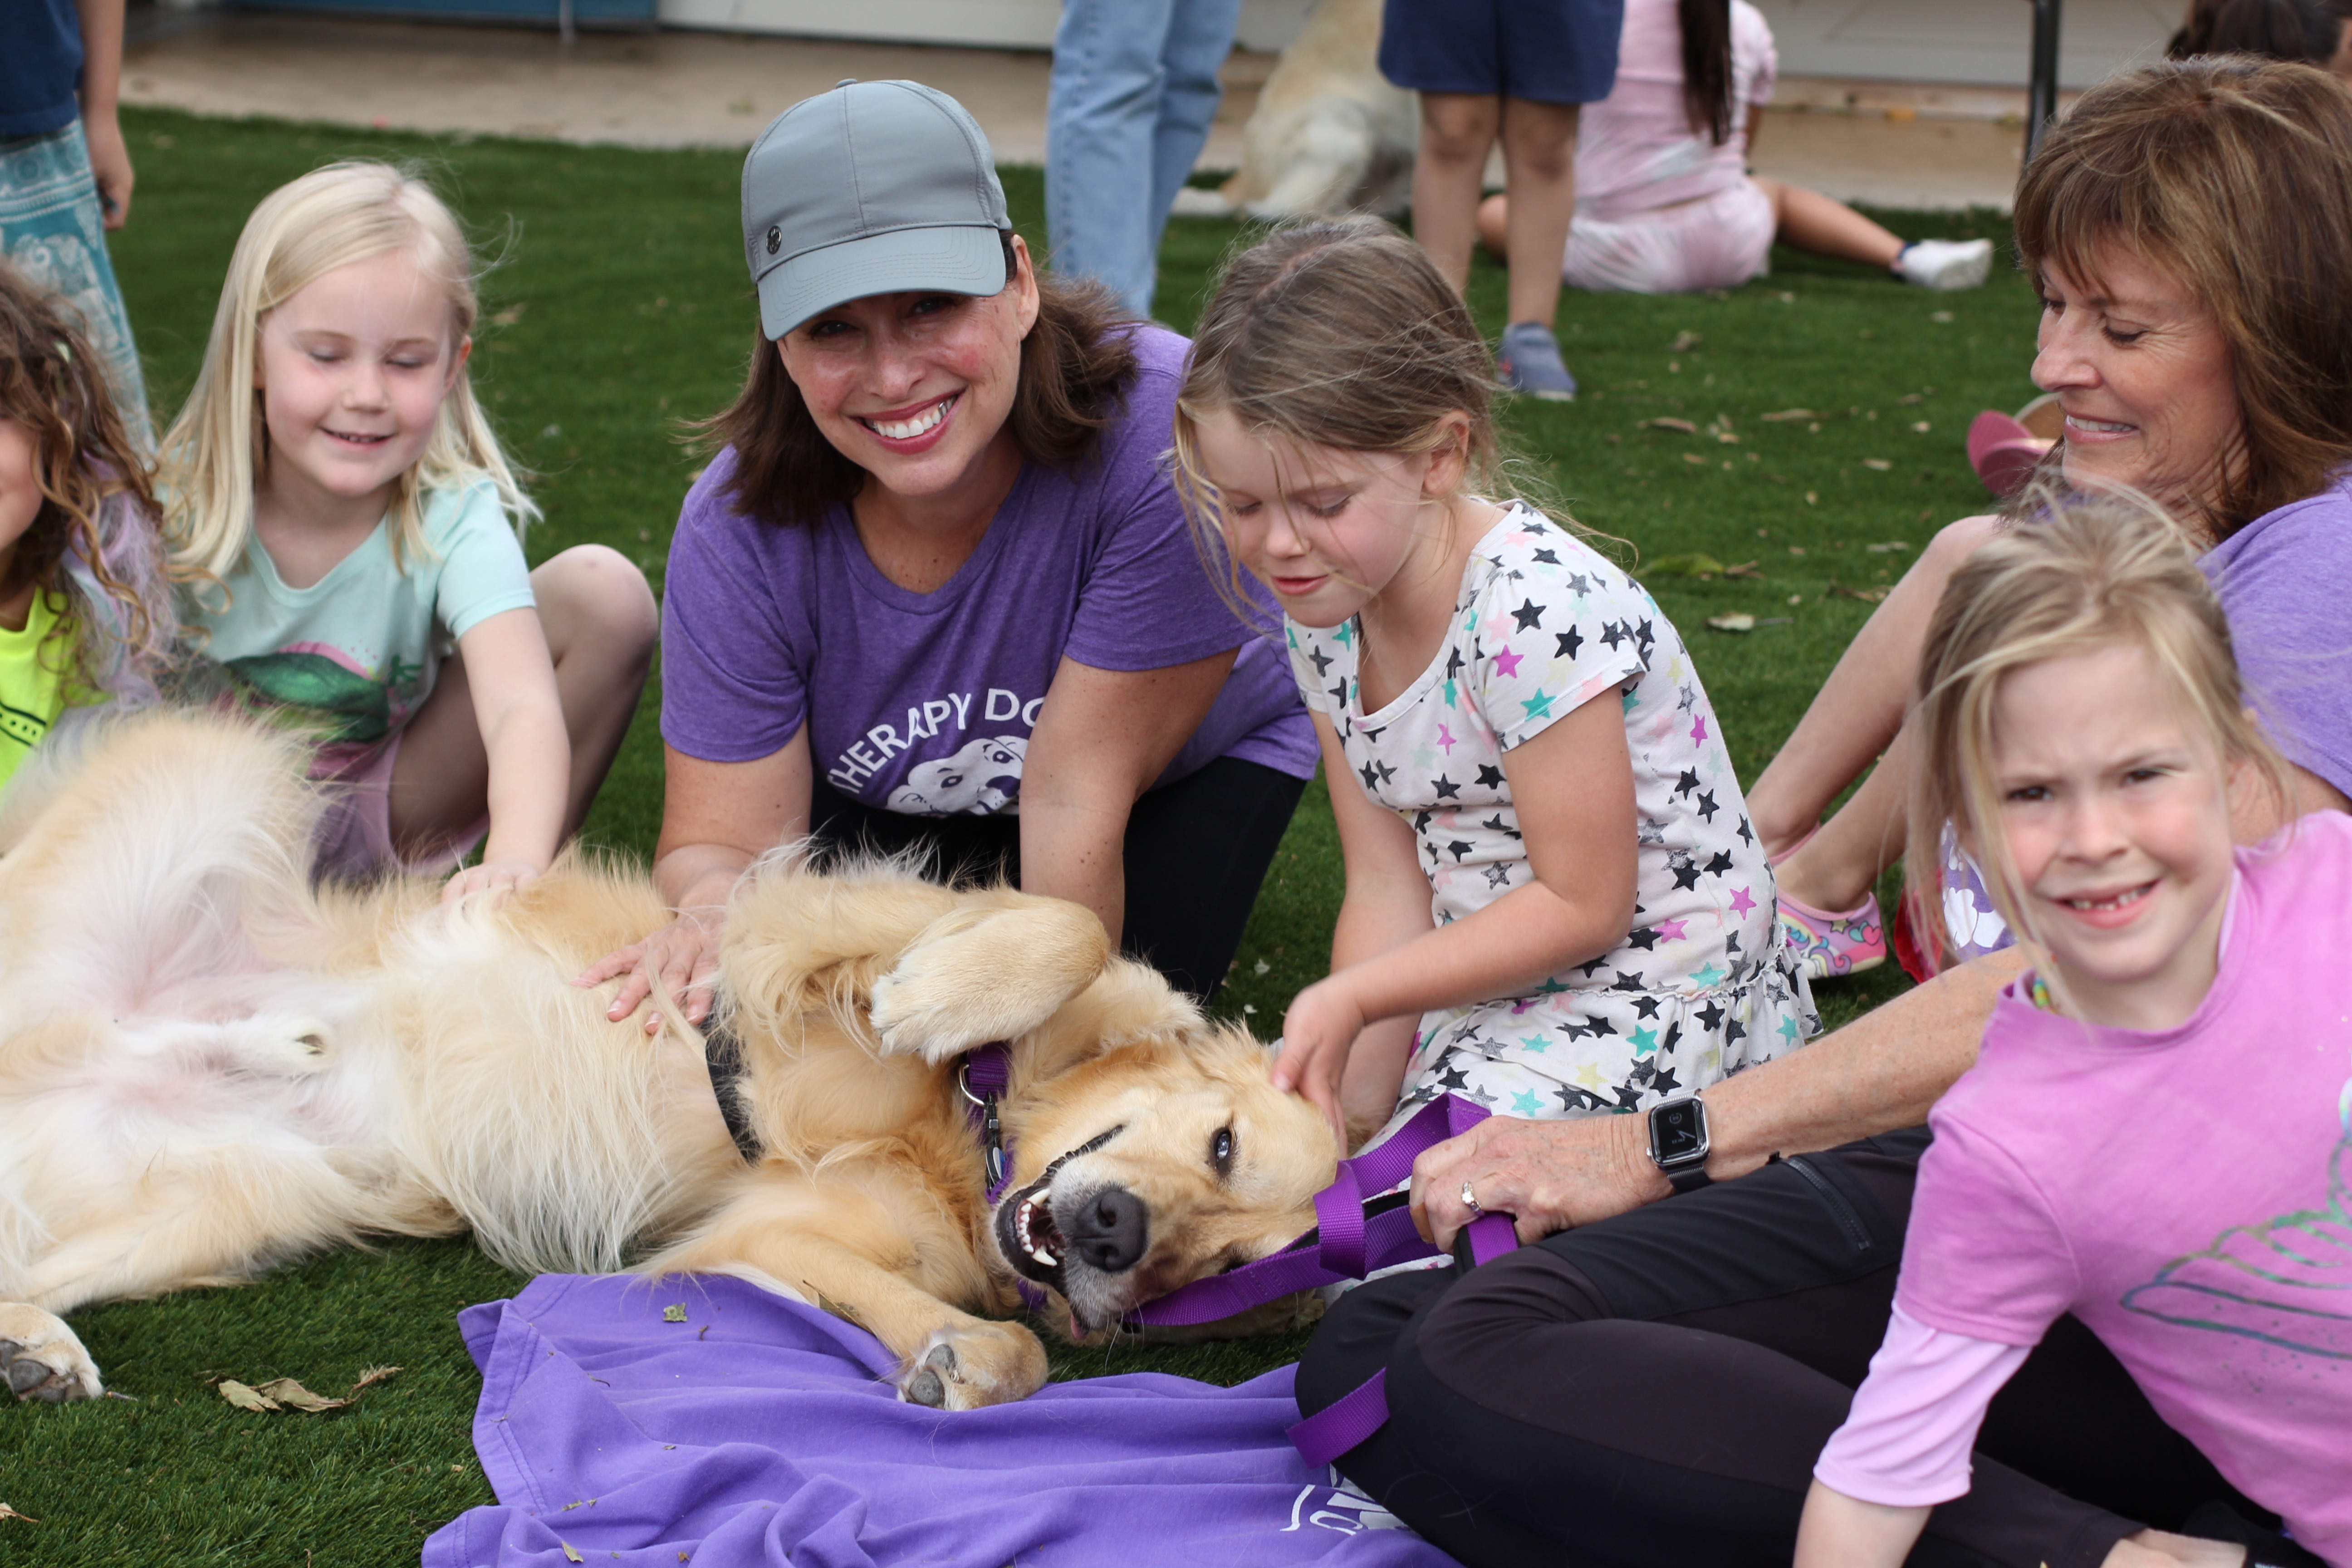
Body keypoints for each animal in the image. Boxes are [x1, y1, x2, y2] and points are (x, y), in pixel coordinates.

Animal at [0, 719, 1345, 1420]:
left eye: (1220, 1271)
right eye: (1222, 1141)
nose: (1118, 1234)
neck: (972, 1140)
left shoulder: (757, 1235)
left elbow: (1008, 1350)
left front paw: (958, 1360)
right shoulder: (786, 930)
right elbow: (1063, 927)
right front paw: (936, 997)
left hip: (241, 1197)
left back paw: (44, 1343)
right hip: (207, 764)